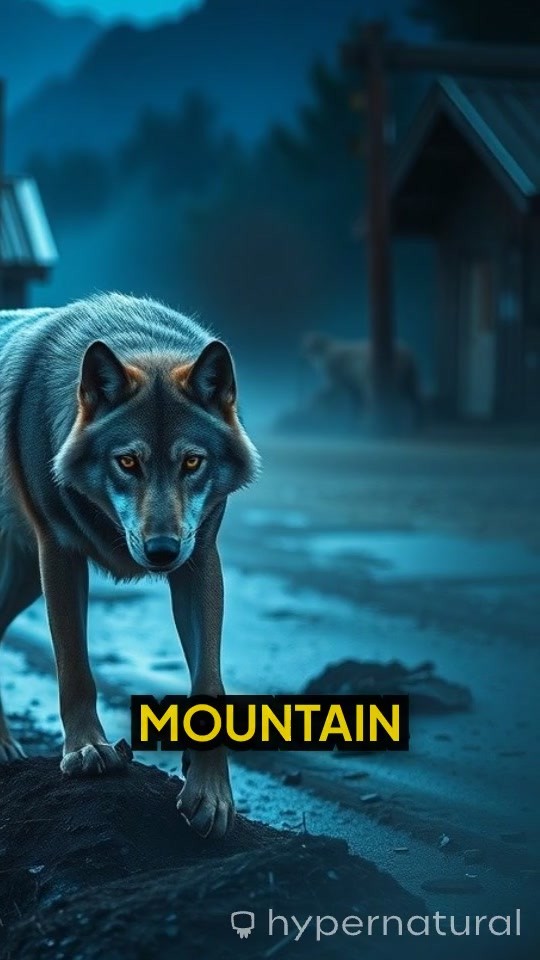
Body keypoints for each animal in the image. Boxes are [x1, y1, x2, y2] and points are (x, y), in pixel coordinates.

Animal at [0, 293, 259, 838]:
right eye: (127, 462)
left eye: (191, 462)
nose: (161, 551)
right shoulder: (58, 553)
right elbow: (74, 666)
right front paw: (86, 750)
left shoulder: (199, 560)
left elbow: (209, 682)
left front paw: (211, 794)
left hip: (23, 580)